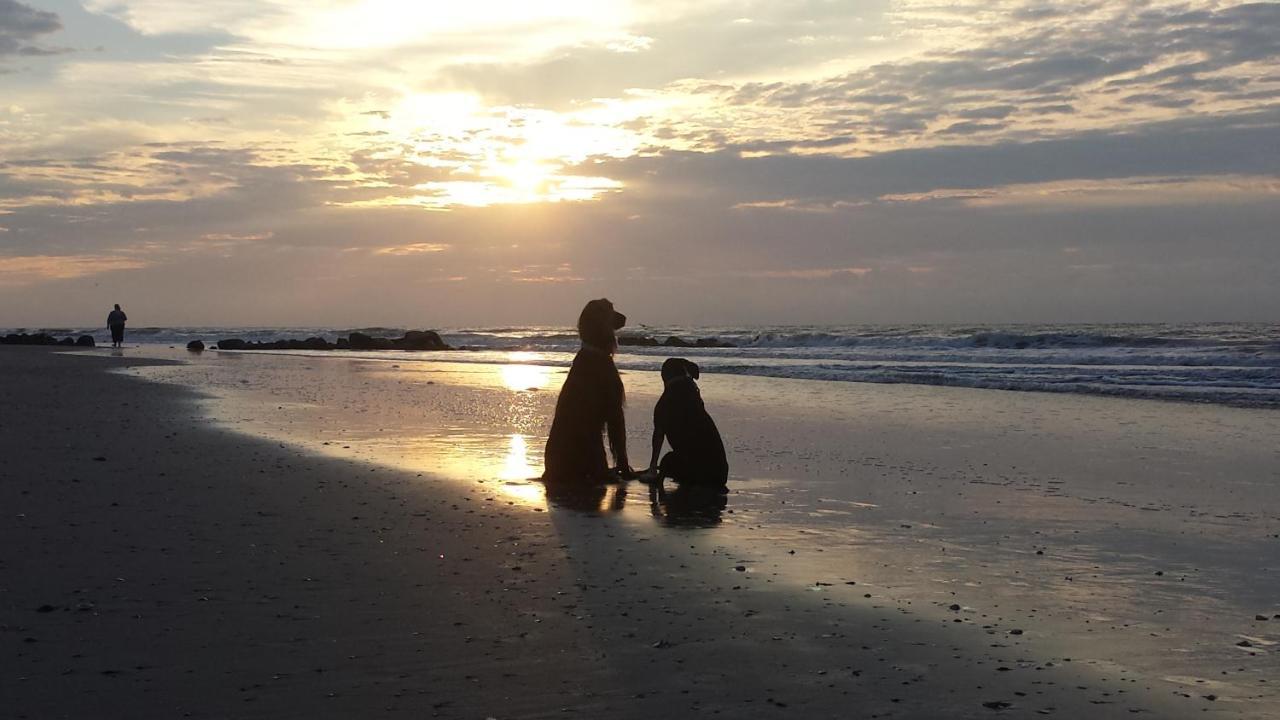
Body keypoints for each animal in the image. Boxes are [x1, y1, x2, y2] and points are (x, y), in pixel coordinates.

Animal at [545, 297, 634, 481]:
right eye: (607, 309)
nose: (624, 318)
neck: (596, 351)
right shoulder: (614, 408)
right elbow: (620, 443)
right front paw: (626, 471)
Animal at [650, 353, 732, 486]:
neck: (680, 378)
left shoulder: (659, 427)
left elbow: (654, 454)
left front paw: (650, 472)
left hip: (671, 456)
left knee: (662, 475)